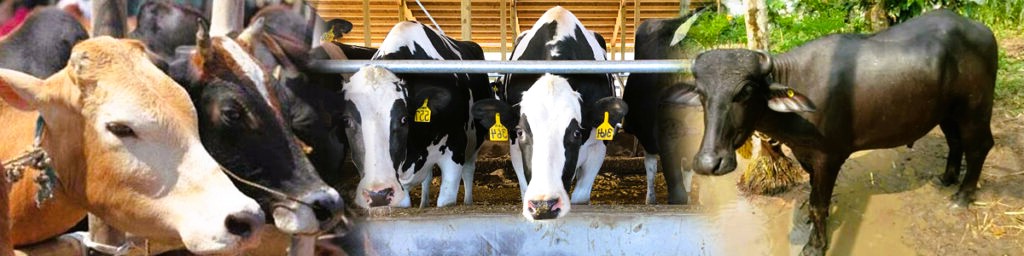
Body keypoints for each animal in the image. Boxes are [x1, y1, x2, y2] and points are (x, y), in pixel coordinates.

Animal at [339, 20, 491, 207]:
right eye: (346, 120)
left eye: (404, 119)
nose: (377, 194)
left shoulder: (455, 148)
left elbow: (445, 200)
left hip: (473, 141)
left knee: (468, 171)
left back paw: (468, 202)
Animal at [475, 7, 626, 221]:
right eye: (520, 132)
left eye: (576, 132)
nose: (544, 206)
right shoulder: (515, 148)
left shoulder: (598, 146)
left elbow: (581, 197)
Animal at [667, 9, 995, 253]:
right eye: (701, 93)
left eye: (745, 91)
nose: (709, 163)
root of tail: (982, 31)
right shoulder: (806, 155)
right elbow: (814, 195)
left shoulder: (829, 157)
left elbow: (818, 203)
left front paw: (815, 245)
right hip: (948, 112)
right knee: (955, 142)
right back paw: (947, 179)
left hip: (975, 110)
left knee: (979, 146)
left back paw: (962, 196)